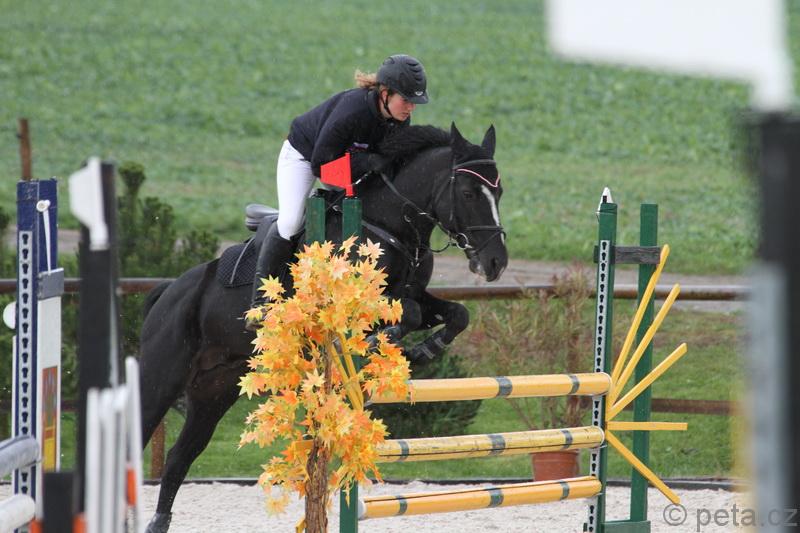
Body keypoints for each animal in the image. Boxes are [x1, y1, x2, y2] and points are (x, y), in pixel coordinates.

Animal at [139, 123, 508, 532]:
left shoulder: (413, 294)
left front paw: (423, 349)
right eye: (468, 193)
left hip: (214, 390)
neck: (388, 225)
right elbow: (407, 314)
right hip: (161, 378)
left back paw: (158, 522)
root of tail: (170, 291)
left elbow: (455, 313)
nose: (495, 263)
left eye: (499, 192)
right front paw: (384, 340)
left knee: (179, 457)